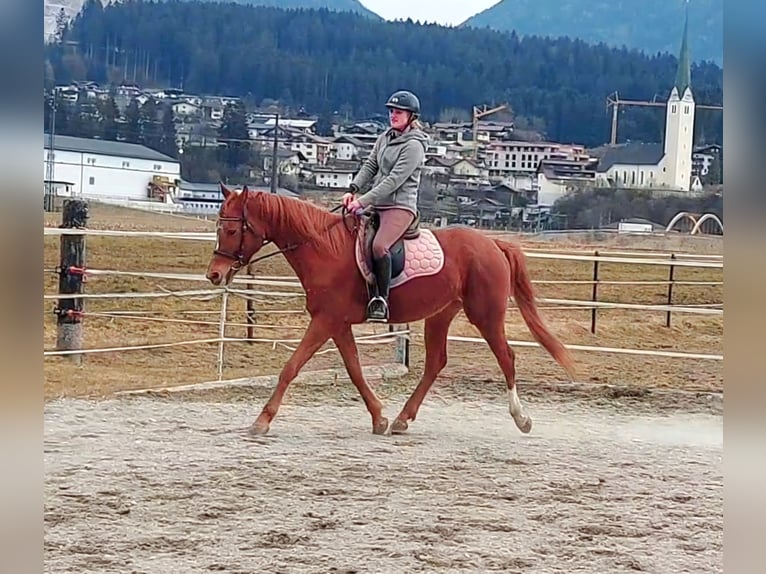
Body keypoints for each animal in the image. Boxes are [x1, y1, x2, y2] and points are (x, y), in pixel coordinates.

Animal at [206, 184, 576, 436]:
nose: (214, 275)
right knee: (436, 362)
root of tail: (494, 243)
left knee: (506, 357)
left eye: (232, 229)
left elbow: (291, 367)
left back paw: (521, 418)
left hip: (485, 315)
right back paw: (401, 419)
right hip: (441, 314)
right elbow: (354, 370)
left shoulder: (325, 321)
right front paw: (379, 417)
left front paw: (261, 420)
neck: (323, 248)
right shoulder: (337, 324)